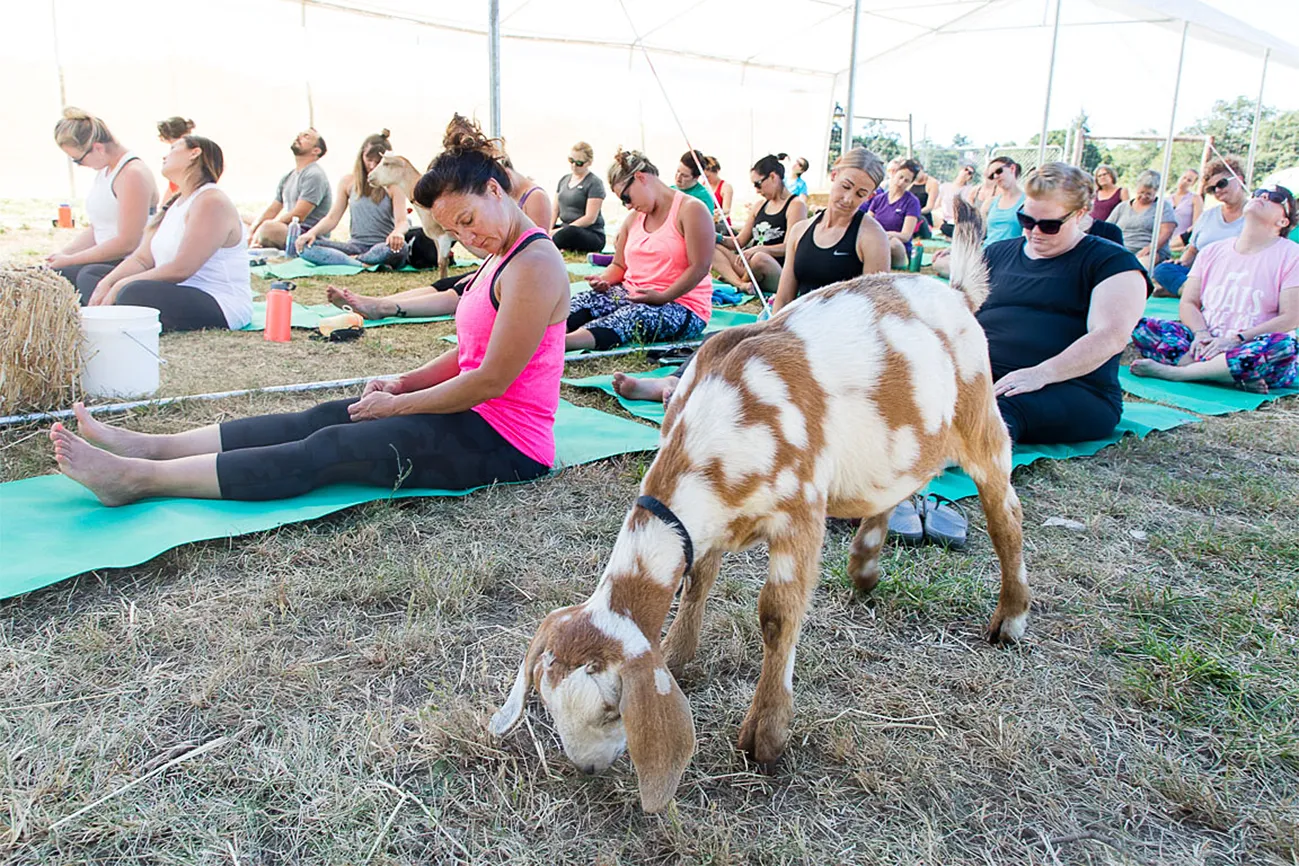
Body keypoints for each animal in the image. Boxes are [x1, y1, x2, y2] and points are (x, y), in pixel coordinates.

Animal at [371, 152, 457, 281]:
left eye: (386, 163)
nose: (369, 176)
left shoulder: (444, 236)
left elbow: (442, 264)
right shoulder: (436, 238)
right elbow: (442, 263)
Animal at [491, 201, 1028, 815]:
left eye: (612, 707)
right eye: (546, 700)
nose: (586, 768)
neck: (724, 419)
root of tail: (958, 293)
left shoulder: (802, 511)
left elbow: (776, 616)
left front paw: (765, 738)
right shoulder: (706, 523)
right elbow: (697, 579)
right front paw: (678, 656)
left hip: (981, 421)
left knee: (1004, 513)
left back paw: (1010, 618)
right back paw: (865, 568)